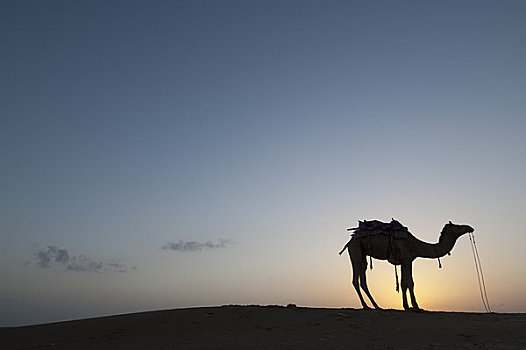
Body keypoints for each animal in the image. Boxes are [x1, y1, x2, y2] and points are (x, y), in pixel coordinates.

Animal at [340, 220, 476, 310]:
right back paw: (371, 306)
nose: (470, 227)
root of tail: (349, 241)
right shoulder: (408, 259)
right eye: (458, 226)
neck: (416, 245)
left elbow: (403, 283)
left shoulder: (404, 261)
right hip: (356, 250)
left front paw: (406, 306)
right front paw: (416, 306)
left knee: (359, 279)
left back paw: (372, 306)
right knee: (359, 279)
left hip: (360, 253)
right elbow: (410, 282)